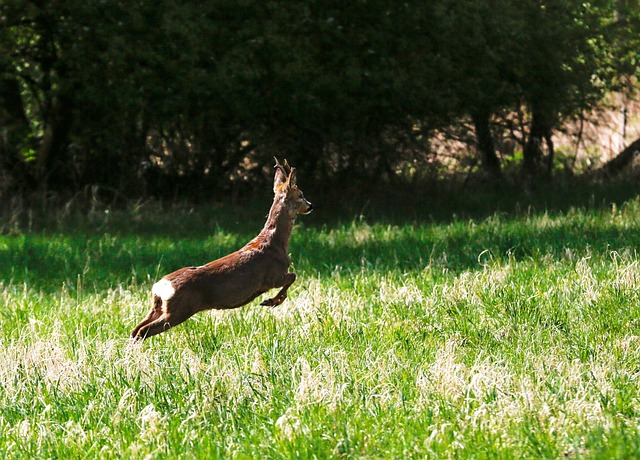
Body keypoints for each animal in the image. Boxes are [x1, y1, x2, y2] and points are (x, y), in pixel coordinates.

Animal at [131, 160, 312, 340]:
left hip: (159, 307)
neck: (276, 244)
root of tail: (160, 287)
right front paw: (272, 301)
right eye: (301, 195)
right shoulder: (273, 276)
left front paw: (272, 301)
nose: (310, 205)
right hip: (179, 309)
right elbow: (293, 277)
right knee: (143, 330)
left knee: (135, 329)